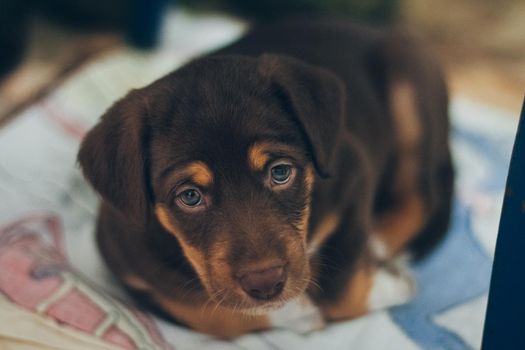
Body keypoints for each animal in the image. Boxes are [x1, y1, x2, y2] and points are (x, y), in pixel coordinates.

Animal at [79, 19, 454, 340]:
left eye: (280, 172)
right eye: (189, 196)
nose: (265, 284)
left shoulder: (353, 175)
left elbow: (341, 283)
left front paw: (391, 285)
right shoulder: (126, 260)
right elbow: (215, 314)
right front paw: (300, 313)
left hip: (407, 80)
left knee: (421, 198)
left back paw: (379, 248)